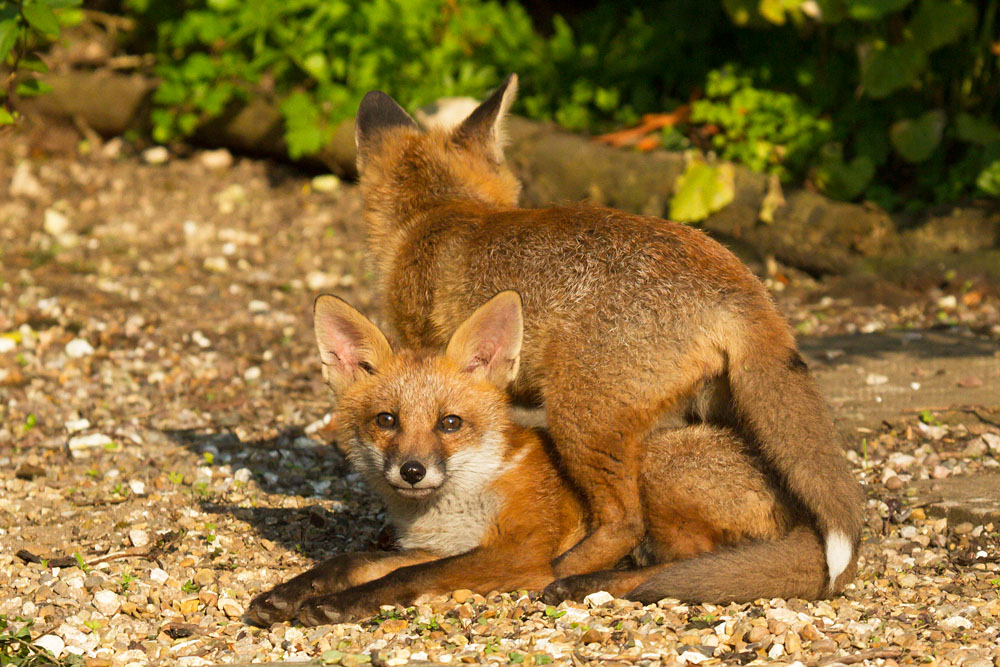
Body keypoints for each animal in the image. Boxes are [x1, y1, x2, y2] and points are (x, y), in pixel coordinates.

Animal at [245, 291, 835, 626]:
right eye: (386, 420)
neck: (463, 498)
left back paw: (586, 582)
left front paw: (341, 606)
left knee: (676, 566)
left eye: (449, 424)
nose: (412, 471)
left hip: (654, 470)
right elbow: (353, 563)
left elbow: (403, 579)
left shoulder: (516, 551)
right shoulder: (439, 546)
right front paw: (288, 594)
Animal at [351, 73, 866, 602]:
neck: (441, 210)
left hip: (580, 418)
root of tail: (738, 277)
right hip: (702, 414)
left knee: (626, 523)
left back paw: (565, 573)